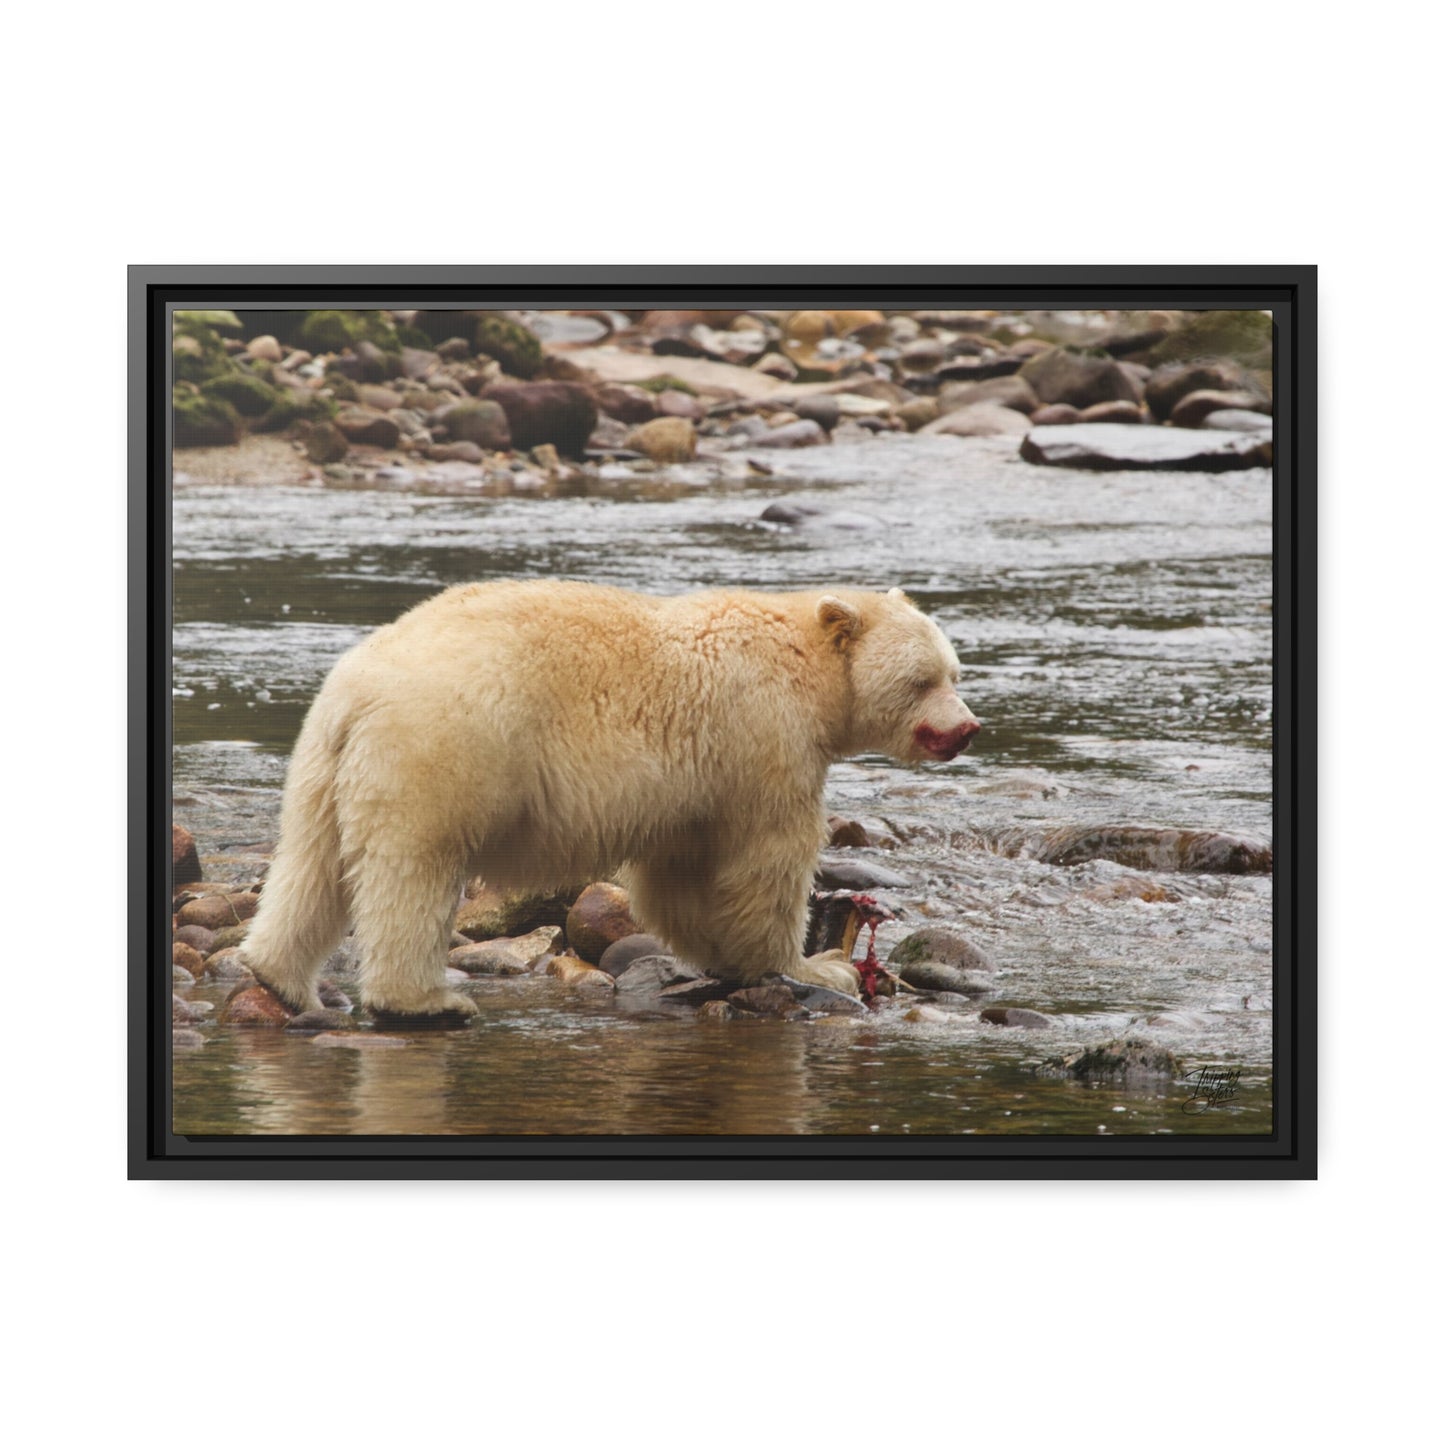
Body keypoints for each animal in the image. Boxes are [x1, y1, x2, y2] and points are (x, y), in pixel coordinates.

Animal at [238, 580, 980, 1024]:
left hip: (326, 763)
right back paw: (425, 1000)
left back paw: (279, 976)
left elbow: (680, 873)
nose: (967, 727)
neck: (807, 666)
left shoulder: (695, 782)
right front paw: (813, 964)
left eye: (954, 671)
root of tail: (357, 686)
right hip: (443, 745)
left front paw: (720, 952)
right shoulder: (763, 736)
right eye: (922, 680)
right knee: (412, 868)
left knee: (313, 863)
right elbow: (765, 857)